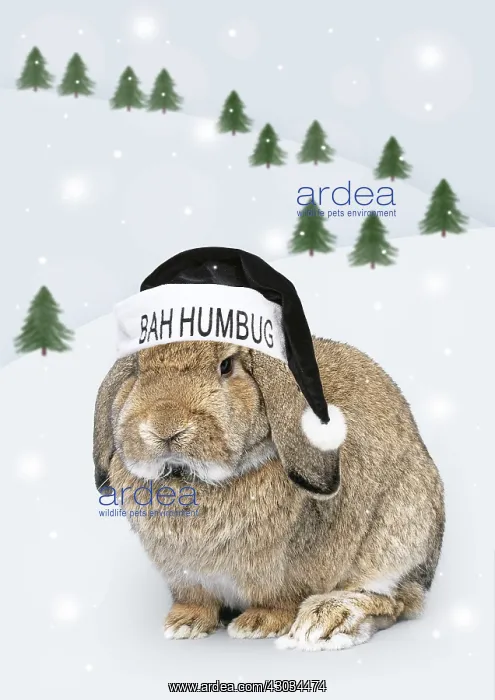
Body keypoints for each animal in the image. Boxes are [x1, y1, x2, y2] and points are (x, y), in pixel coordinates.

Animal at [93, 337, 444, 651]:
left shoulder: (289, 571)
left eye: (226, 366)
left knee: (394, 601)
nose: (166, 427)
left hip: (399, 531)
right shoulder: (186, 578)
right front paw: (184, 624)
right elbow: (195, 601)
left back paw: (325, 621)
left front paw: (257, 625)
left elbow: (280, 601)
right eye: (137, 369)